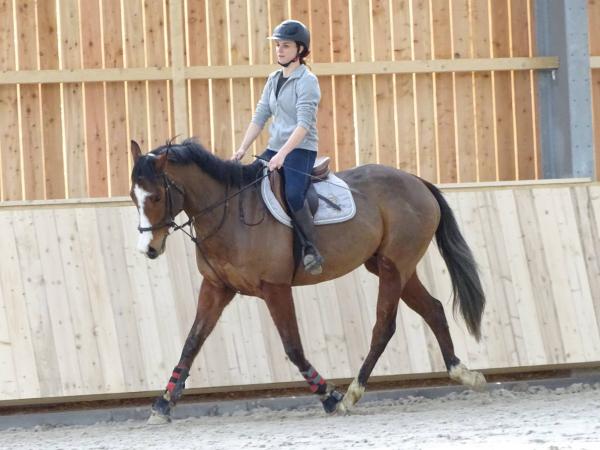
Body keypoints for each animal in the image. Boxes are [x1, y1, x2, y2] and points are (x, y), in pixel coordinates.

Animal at [129, 139, 486, 424]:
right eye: (133, 196)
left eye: (157, 196)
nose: (148, 249)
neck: (231, 214)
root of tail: (416, 181)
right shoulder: (217, 288)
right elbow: (192, 342)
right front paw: (162, 404)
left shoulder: (274, 288)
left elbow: (293, 346)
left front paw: (329, 396)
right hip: (395, 267)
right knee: (433, 309)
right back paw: (463, 373)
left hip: (394, 267)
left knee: (384, 326)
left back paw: (352, 393)